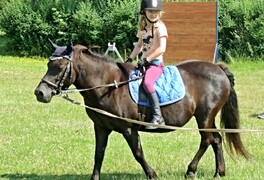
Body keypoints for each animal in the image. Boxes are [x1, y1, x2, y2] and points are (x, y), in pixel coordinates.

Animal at [33, 41, 250, 180]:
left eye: (60, 65)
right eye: (49, 63)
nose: (40, 93)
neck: (109, 86)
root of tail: (218, 69)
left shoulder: (129, 128)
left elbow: (137, 153)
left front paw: (152, 174)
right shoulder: (101, 127)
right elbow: (98, 154)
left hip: (204, 116)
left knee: (207, 140)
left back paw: (191, 170)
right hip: (207, 117)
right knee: (217, 139)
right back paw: (219, 172)